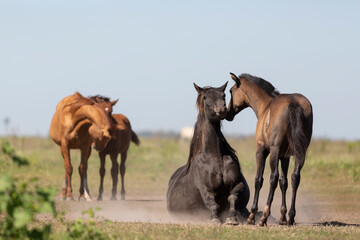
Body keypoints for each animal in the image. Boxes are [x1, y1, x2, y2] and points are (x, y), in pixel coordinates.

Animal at [167, 82, 249, 225]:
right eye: (205, 97)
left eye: (224, 95)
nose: (221, 109)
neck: (215, 158)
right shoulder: (206, 188)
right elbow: (211, 202)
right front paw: (215, 219)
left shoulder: (237, 184)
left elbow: (232, 197)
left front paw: (231, 218)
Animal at [226, 72, 314, 225]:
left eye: (231, 91)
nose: (227, 112)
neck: (266, 106)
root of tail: (294, 104)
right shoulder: (285, 156)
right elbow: (284, 182)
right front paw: (283, 217)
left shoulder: (261, 151)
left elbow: (259, 180)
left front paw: (252, 216)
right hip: (299, 152)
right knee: (295, 177)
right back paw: (291, 217)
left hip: (274, 152)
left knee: (273, 177)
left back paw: (264, 217)